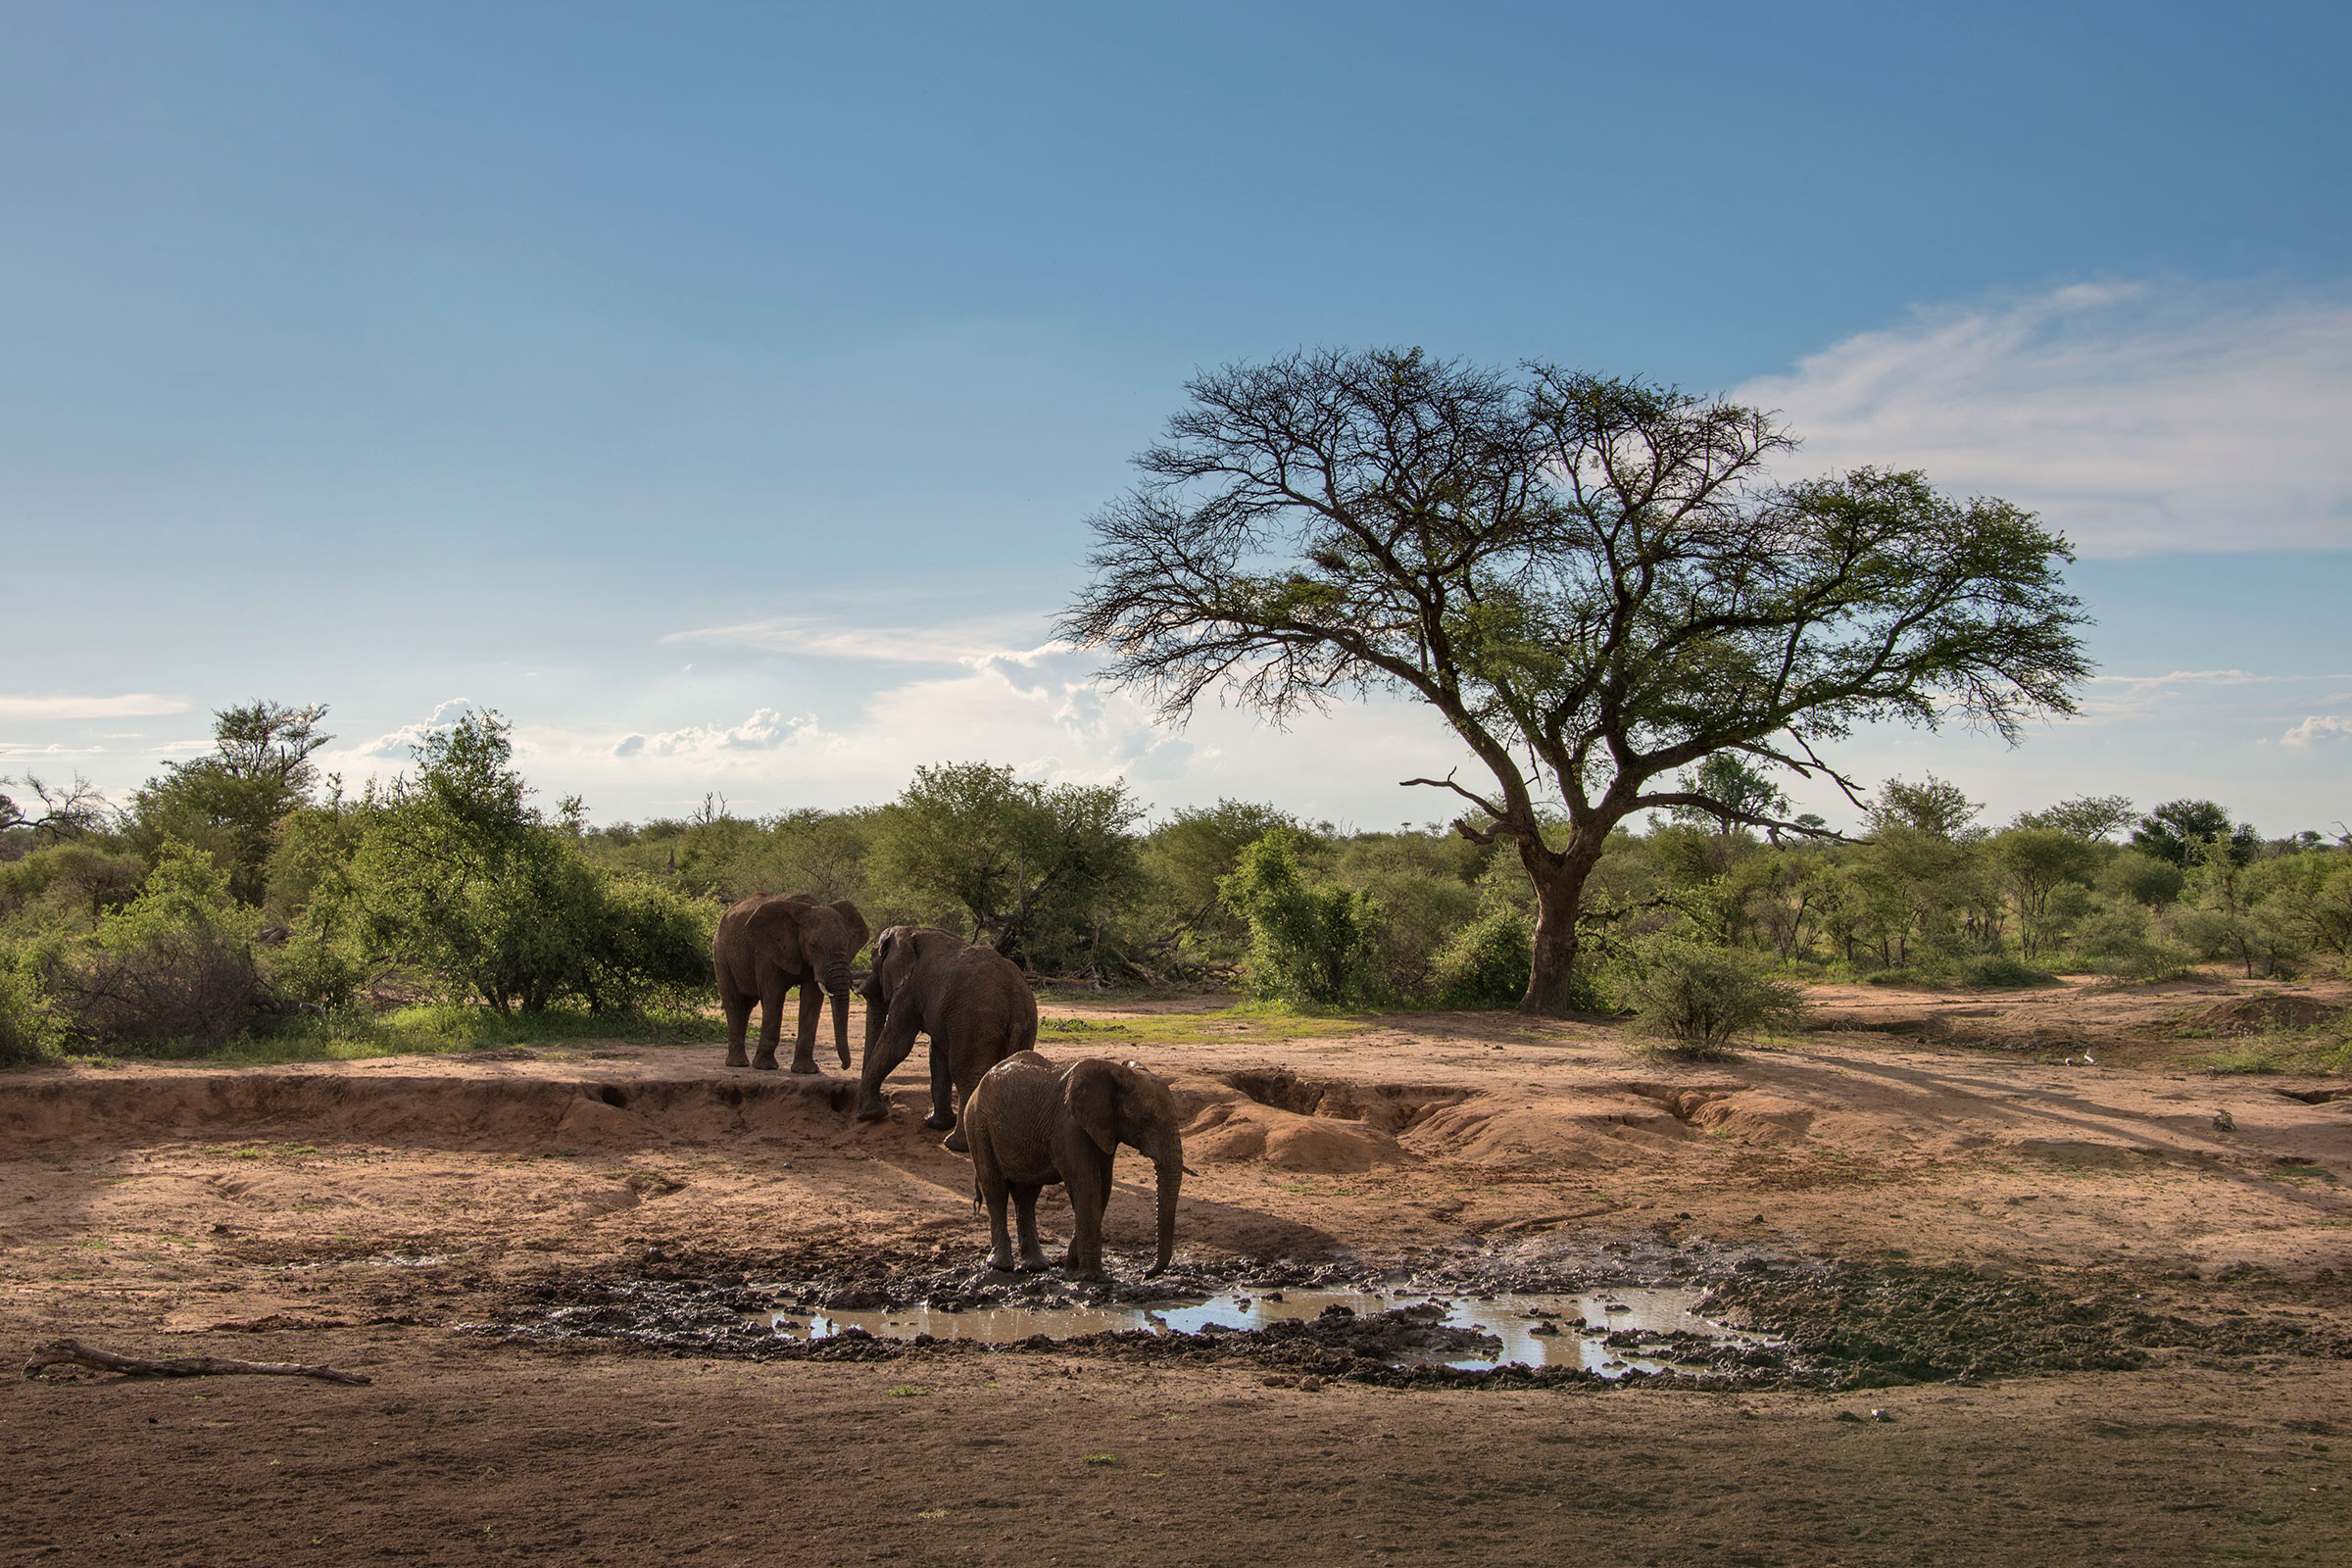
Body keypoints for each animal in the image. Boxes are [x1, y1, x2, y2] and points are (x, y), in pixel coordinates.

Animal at [714, 893, 874, 1081]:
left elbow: (812, 999)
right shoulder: (767, 953)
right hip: (720, 953)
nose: (844, 1066)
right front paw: (766, 1067)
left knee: (747, 1005)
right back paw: (737, 1064)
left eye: (847, 944)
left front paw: (806, 1071)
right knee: (733, 1000)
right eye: (813, 945)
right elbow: (773, 996)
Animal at [847, 921, 1030, 1152]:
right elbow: (937, 1055)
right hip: (1021, 1027)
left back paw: (955, 1144)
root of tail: (1016, 1002)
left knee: (965, 1072)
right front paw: (934, 1124)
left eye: (873, 960)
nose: (862, 1115)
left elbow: (898, 1045)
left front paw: (872, 1114)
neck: (911, 931)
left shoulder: (909, 991)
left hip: (973, 1022)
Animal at [955, 1048, 1185, 1278]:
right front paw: (1093, 1277)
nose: (1145, 1273)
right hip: (977, 1126)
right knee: (996, 1190)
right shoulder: (1068, 1126)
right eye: (1146, 1119)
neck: (1117, 1072)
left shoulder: (1104, 1127)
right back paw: (1000, 1265)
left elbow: (1103, 1188)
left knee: (1027, 1196)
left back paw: (1036, 1265)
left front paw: (1072, 1271)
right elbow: (1087, 1184)